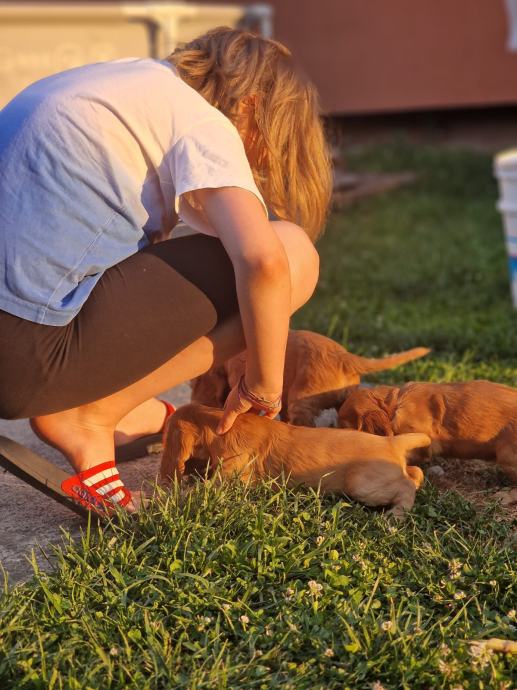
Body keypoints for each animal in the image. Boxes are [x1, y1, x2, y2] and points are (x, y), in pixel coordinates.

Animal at [162, 400, 432, 512]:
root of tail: (392, 441)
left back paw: (394, 517)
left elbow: (202, 490)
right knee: (415, 473)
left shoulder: (231, 474)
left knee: (407, 486)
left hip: (361, 483)